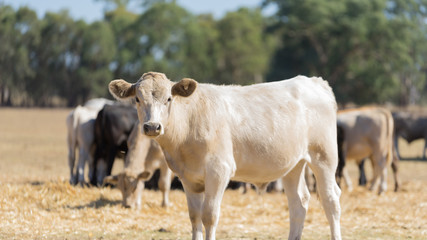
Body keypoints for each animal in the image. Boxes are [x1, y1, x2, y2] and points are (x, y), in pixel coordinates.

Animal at [108, 71, 342, 240]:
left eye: (168, 99)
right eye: (138, 99)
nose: (152, 126)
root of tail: (314, 81)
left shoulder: (219, 171)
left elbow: (209, 215)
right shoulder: (188, 178)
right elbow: (194, 216)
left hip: (324, 157)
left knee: (330, 200)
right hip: (293, 164)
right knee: (298, 203)